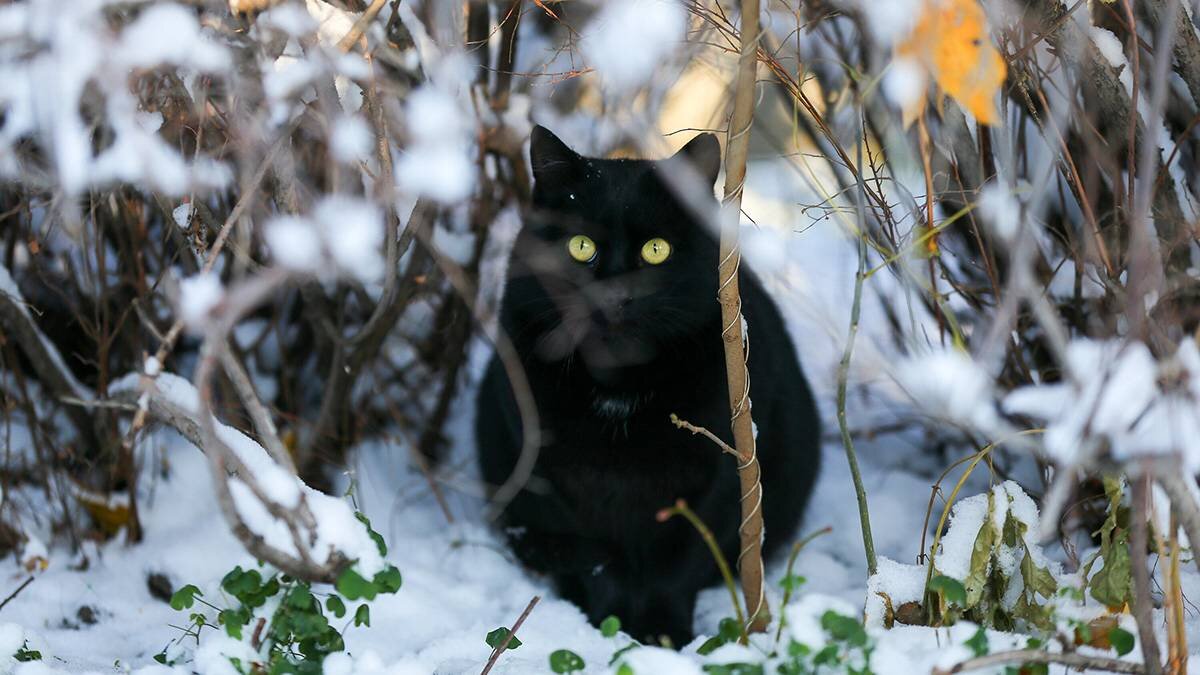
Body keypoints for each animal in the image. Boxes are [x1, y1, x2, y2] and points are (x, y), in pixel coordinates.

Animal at [472, 126, 820, 648]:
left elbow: (680, 560)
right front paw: (610, 627)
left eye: (656, 249)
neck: (620, 383)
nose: (614, 293)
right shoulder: (552, 474)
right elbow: (597, 559)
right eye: (580, 246)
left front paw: (662, 636)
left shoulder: (722, 470)